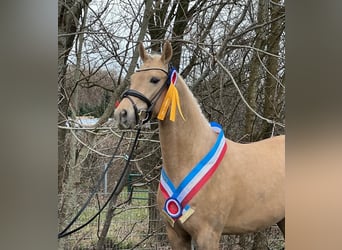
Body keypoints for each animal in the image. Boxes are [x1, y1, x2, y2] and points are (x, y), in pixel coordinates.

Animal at [113, 40, 284, 249]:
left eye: (154, 79)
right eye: (133, 78)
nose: (122, 114)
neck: (192, 157)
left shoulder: (207, 236)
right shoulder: (176, 235)